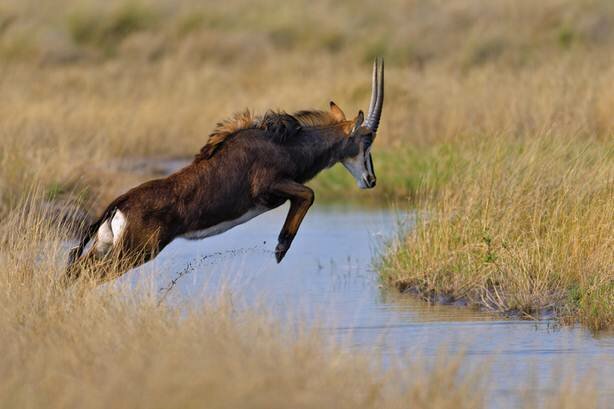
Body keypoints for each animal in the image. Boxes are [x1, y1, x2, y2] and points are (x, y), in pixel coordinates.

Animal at [67, 57, 384, 282]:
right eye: (366, 140)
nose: (371, 180)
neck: (285, 143)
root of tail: (119, 202)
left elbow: (307, 194)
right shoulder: (268, 188)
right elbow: (309, 193)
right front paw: (280, 248)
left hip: (105, 248)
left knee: (74, 274)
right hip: (133, 253)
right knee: (89, 278)